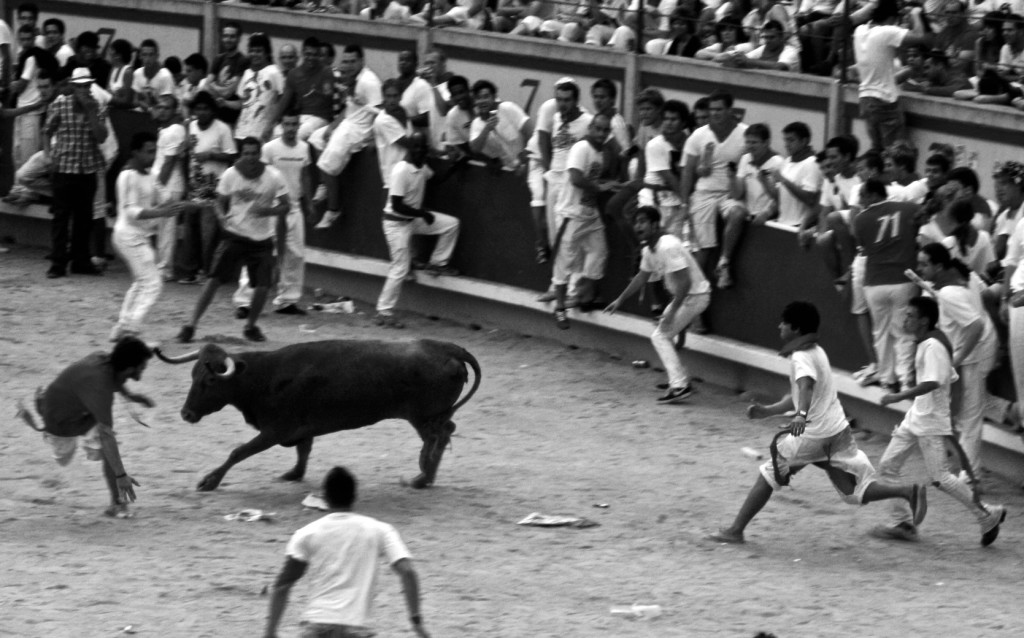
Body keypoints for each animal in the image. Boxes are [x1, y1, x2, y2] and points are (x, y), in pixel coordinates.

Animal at [153, 342, 481, 491]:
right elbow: (304, 449)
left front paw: (209, 481)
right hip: (428, 417)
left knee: (437, 438)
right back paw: (425, 478)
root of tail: (447, 348)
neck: (262, 377)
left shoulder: (275, 430)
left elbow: (238, 451)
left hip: (423, 417)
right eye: (192, 375)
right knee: (443, 433)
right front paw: (293, 474)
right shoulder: (300, 428)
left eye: (209, 380)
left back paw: (421, 477)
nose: (186, 413)